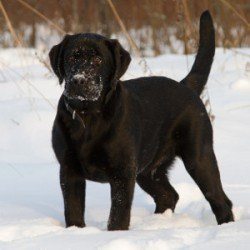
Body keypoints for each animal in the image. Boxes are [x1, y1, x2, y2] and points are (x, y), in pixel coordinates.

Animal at [49, 11, 233, 230]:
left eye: (98, 60)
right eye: (71, 57)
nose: (78, 80)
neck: (88, 117)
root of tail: (185, 86)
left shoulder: (122, 173)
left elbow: (118, 215)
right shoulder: (69, 170)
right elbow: (74, 212)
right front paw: (75, 232)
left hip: (198, 157)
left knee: (219, 199)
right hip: (148, 170)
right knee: (168, 195)